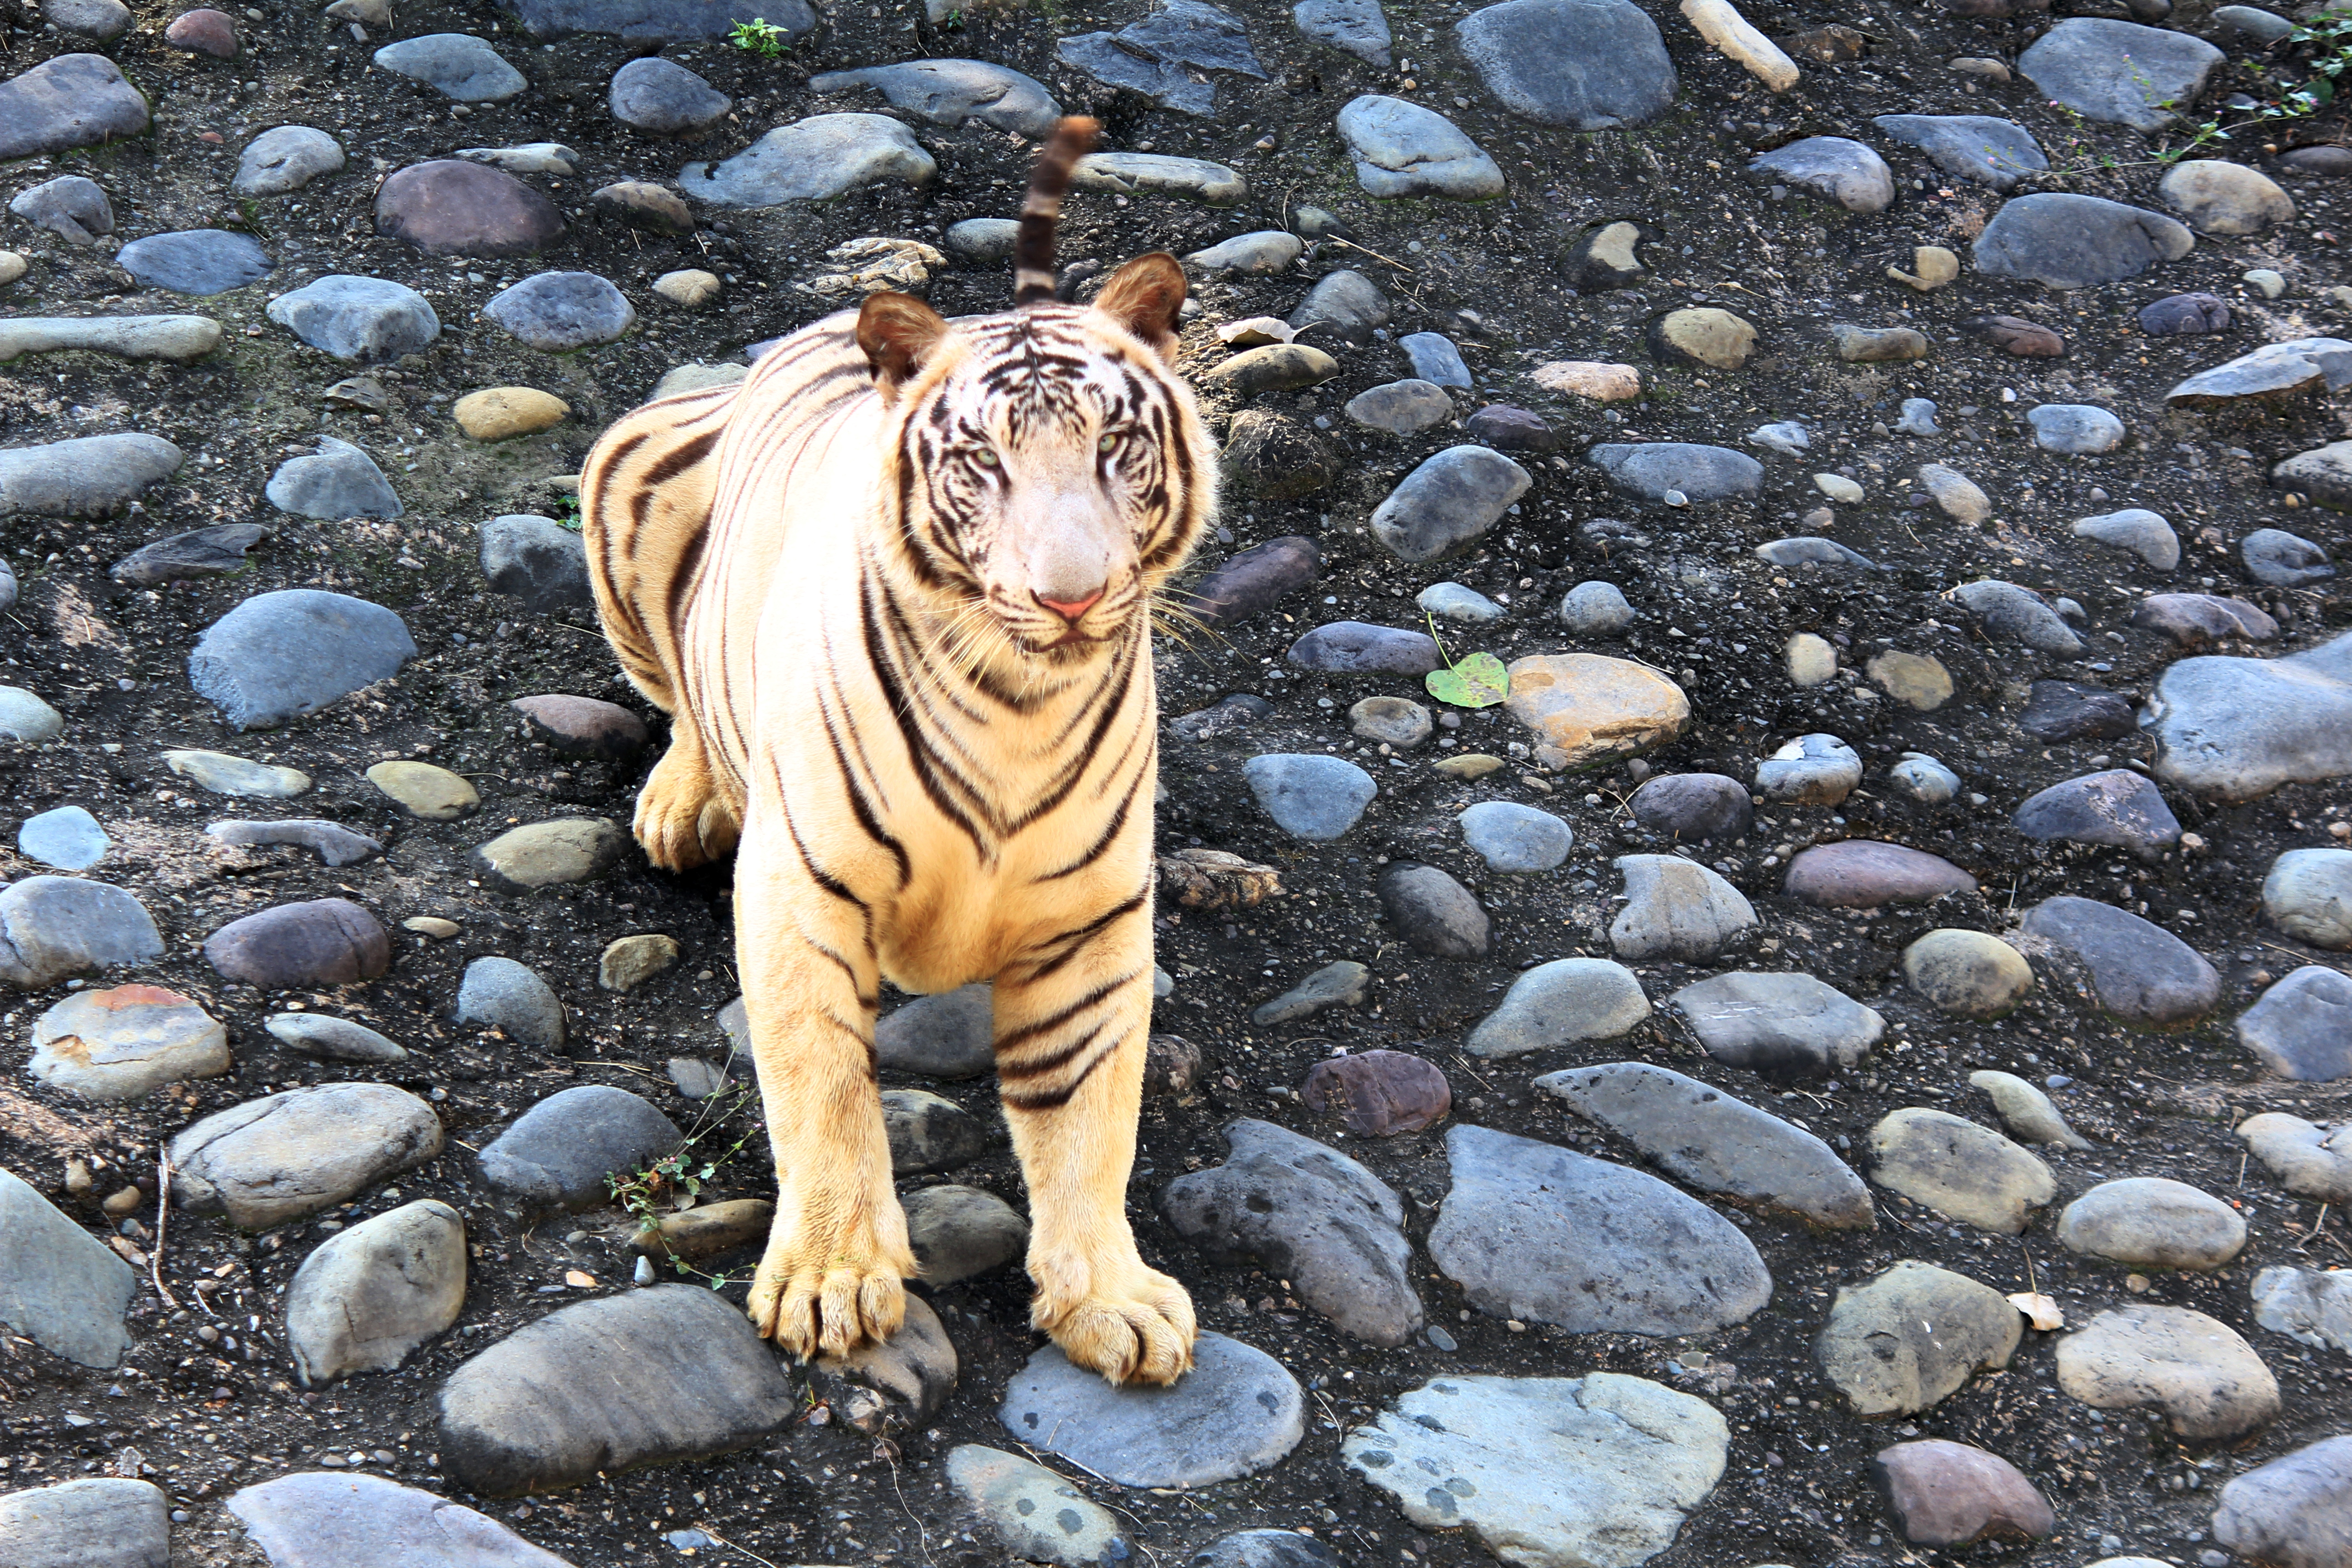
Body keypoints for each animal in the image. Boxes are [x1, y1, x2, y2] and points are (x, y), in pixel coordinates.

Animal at [579, 116, 1215, 1386]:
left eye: (1115, 448)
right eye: (984, 464)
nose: (1070, 598)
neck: (1019, 704)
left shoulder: (1093, 917)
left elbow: (1090, 1111)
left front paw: (1108, 1295)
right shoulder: (799, 887)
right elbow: (822, 1083)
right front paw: (830, 1281)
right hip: (627, 464)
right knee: (676, 696)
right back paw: (682, 801)